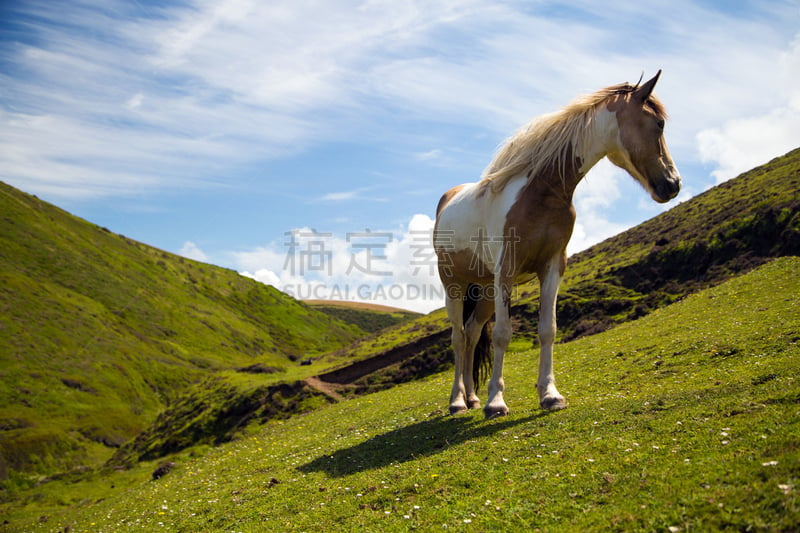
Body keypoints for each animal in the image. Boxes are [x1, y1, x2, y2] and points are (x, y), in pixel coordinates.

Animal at [434, 70, 680, 418]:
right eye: (658, 124)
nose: (673, 184)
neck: (541, 191)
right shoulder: (506, 271)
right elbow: (503, 335)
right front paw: (497, 402)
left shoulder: (552, 266)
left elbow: (547, 329)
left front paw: (550, 395)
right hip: (454, 284)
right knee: (457, 337)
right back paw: (457, 401)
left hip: (483, 290)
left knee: (471, 334)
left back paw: (472, 397)